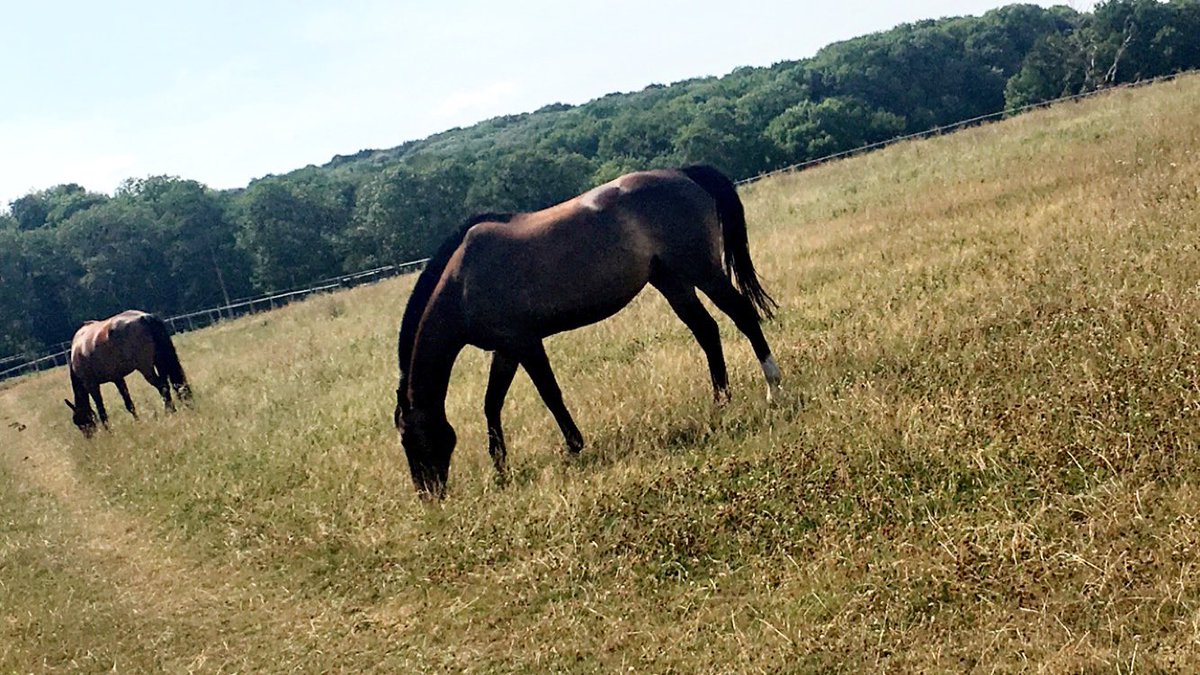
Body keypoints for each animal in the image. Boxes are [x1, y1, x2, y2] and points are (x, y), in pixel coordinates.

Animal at [394, 165, 781, 499]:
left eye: (408, 438)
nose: (428, 496)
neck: (462, 281)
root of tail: (681, 173)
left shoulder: (525, 342)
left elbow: (550, 394)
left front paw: (574, 446)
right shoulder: (505, 349)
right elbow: (492, 404)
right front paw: (501, 468)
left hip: (702, 271)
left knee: (744, 317)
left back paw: (772, 389)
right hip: (672, 281)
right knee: (707, 331)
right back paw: (720, 401)